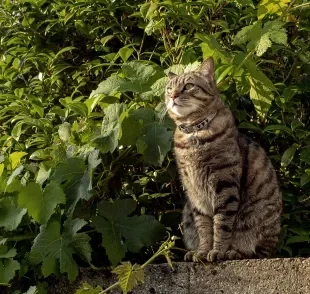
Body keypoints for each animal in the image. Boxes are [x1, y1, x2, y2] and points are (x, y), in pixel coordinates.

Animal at [166, 57, 282, 262]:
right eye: (168, 89)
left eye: (188, 86)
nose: (172, 96)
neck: (194, 132)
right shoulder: (193, 191)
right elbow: (204, 226)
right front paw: (202, 251)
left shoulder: (224, 183)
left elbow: (222, 224)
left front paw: (218, 251)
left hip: (260, 219)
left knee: (258, 251)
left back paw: (235, 251)